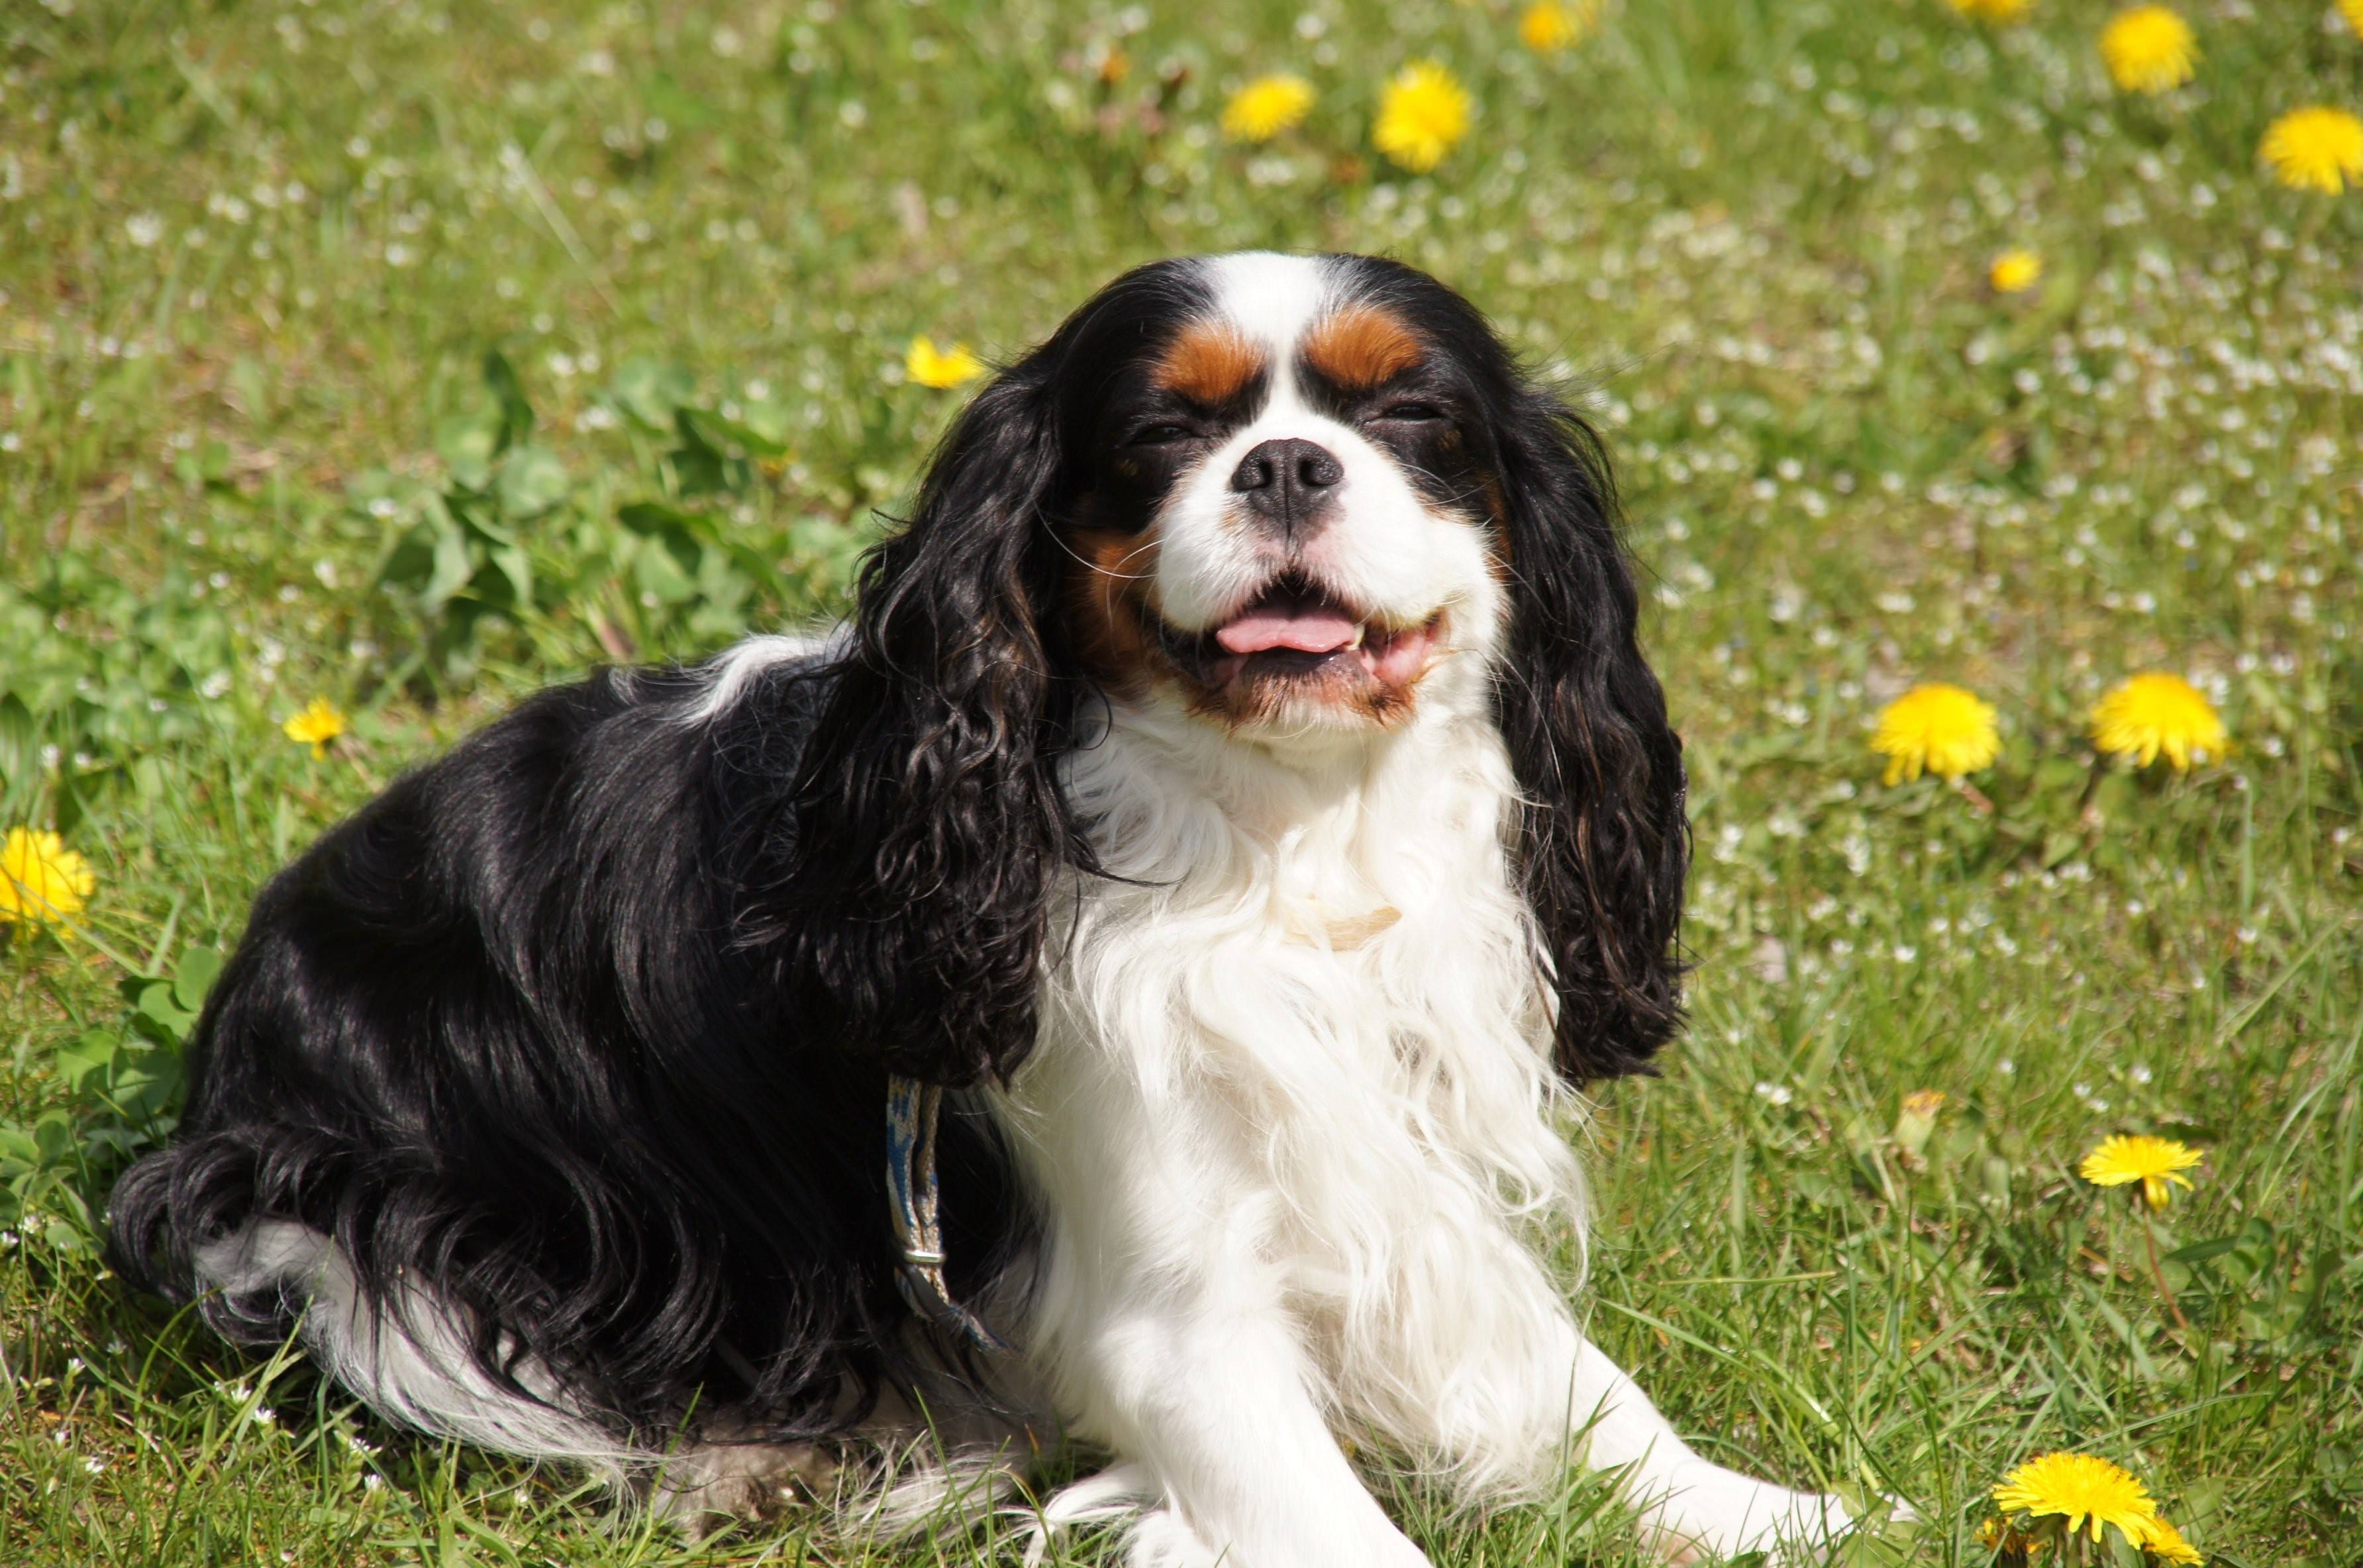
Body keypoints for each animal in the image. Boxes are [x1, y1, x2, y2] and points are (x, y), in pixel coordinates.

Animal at [111, 251, 1862, 1558]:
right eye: (1161, 435)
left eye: (1411, 416)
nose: (1287, 461)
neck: (1283, 836)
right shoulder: (1172, 1318)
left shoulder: (1397, 1174)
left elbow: (1584, 1385)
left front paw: (1772, 1509)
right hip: (368, 1229)